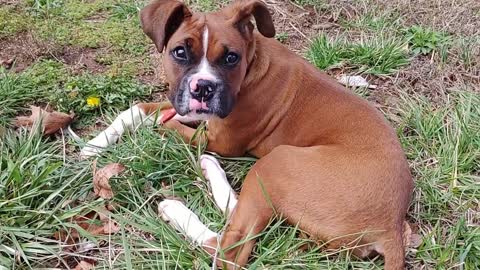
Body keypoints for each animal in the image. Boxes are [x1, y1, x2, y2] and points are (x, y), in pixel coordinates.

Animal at [81, 1, 412, 268]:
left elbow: (163, 124)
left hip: (276, 162)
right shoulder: (188, 107)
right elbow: (140, 109)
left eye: (231, 58)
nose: (203, 88)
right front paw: (94, 144)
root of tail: (391, 227)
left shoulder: (216, 139)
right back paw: (210, 169)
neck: (254, 64)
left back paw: (175, 208)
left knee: (229, 251)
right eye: (180, 52)